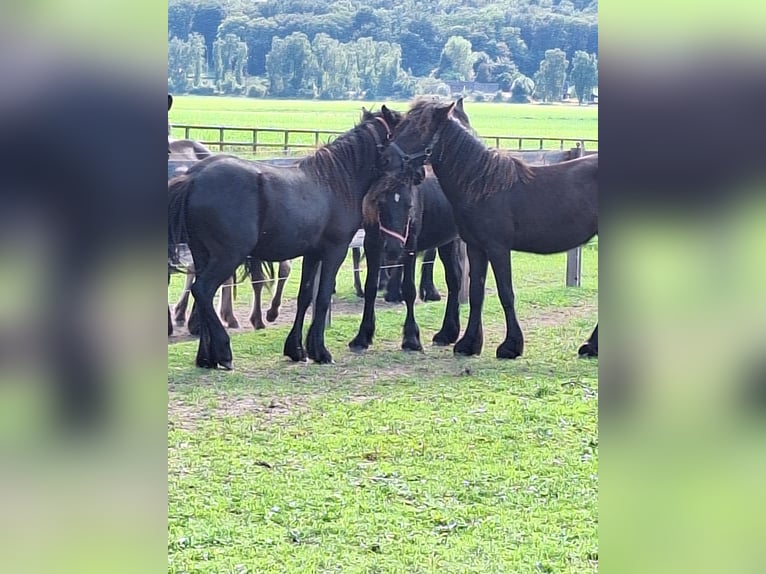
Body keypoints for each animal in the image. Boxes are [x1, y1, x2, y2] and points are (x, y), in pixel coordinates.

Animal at [170, 107, 408, 368]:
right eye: (402, 129)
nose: (415, 171)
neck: (336, 181)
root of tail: (194, 178)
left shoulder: (313, 254)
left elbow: (305, 296)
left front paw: (297, 349)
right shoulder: (335, 250)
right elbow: (322, 297)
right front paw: (320, 351)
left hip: (202, 253)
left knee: (202, 295)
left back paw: (206, 356)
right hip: (227, 256)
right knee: (202, 290)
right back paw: (223, 351)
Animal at [350, 168, 468, 356]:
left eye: (410, 205)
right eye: (381, 203)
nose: (393, 249)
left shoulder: (410, 245)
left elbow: (409, 289)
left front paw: (411, 339)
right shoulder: (372, 244)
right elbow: (370, 288)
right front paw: (362, 337)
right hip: (446, 241)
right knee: (454, 280)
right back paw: (447, 333)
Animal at [384, 99, 600, 360]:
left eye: (419, 130)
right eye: (398, 128)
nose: (385, 160)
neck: (483, 185)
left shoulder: (497, 248)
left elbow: (505, 293)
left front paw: (511, 346)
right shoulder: (476, 247)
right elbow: (476, 293)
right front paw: (469, 344)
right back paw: (592, 346)